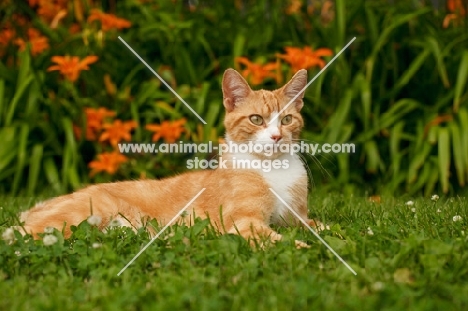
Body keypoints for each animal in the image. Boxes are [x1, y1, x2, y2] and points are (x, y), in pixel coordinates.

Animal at [14, 69, 324, 249]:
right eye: (256, 119)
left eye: (287, 120)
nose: (276, 136)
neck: (272, 168)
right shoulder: (243, 221)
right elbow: (276, 240)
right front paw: (302, 249)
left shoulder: (296, 218)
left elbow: (319, 226)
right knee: (24, 234)